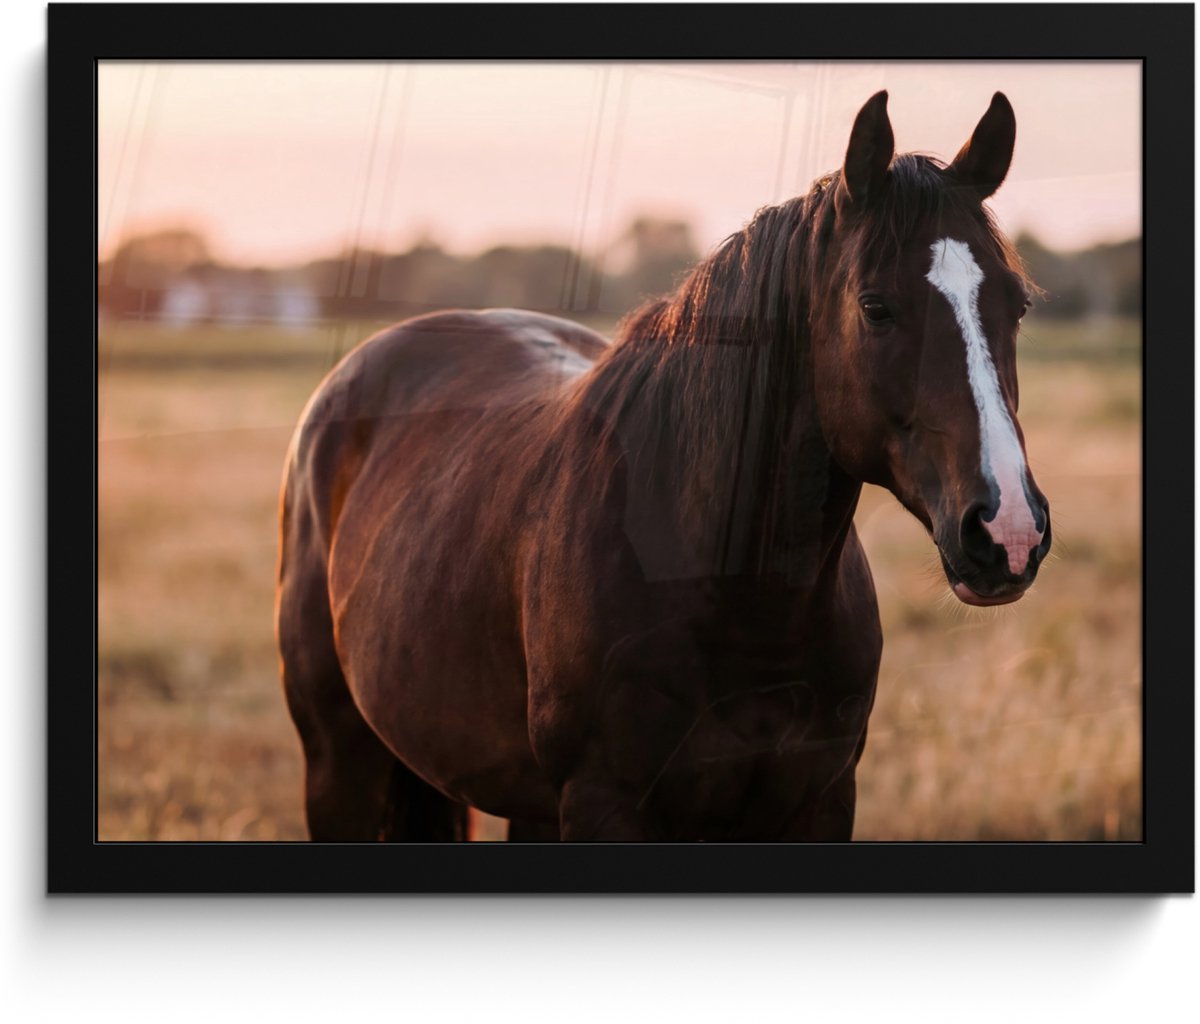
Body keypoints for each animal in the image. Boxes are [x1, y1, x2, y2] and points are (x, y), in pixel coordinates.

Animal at [276, 91, 1051, 842]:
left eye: (1017, 305)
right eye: (876, 307)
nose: (1007, 530)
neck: (741, 604)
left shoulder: (821, 802)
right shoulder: (605, 804)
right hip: (338, 765)